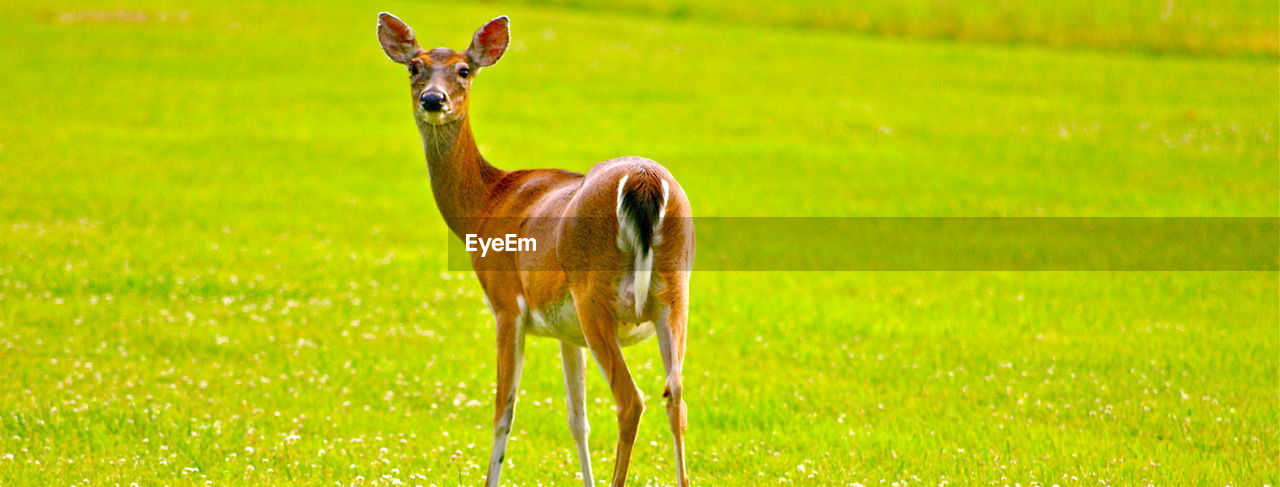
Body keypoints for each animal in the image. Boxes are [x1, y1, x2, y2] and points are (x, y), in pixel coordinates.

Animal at [373, 13, 696, 484]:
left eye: (464, 70)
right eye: (414, 67)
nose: (433, 100)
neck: (487, 204)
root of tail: (645, 181)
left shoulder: (506, 303)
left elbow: (502, 411)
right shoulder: (567, 333)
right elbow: (577, 419)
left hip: (594, 293)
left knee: (631, 399)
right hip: (672, 292)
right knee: (676, 397)